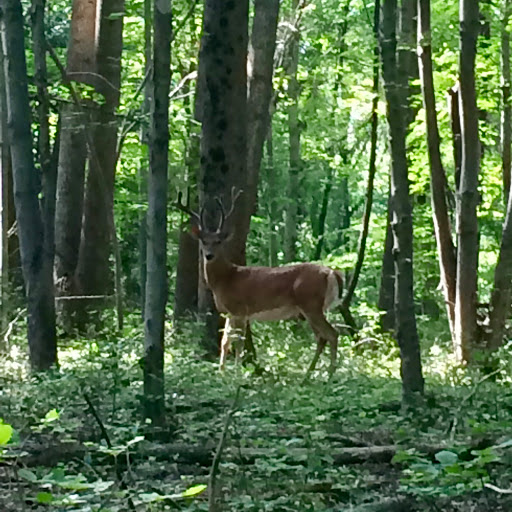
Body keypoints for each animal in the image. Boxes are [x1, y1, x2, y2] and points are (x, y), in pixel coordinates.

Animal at [176, 190, 344, 378]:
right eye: (203, 241)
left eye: (218, 241)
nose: (209, 255)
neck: (226, 279)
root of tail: (332, 273)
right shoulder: (229, 312)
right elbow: (225, 341)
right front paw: (221, 372)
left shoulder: (240, 310)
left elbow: (239, 342)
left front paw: (236, 373)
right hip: (309, 309)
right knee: (322, 337)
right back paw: (308, 375)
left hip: (311, 304)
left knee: (332, 333)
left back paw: (329, 375)